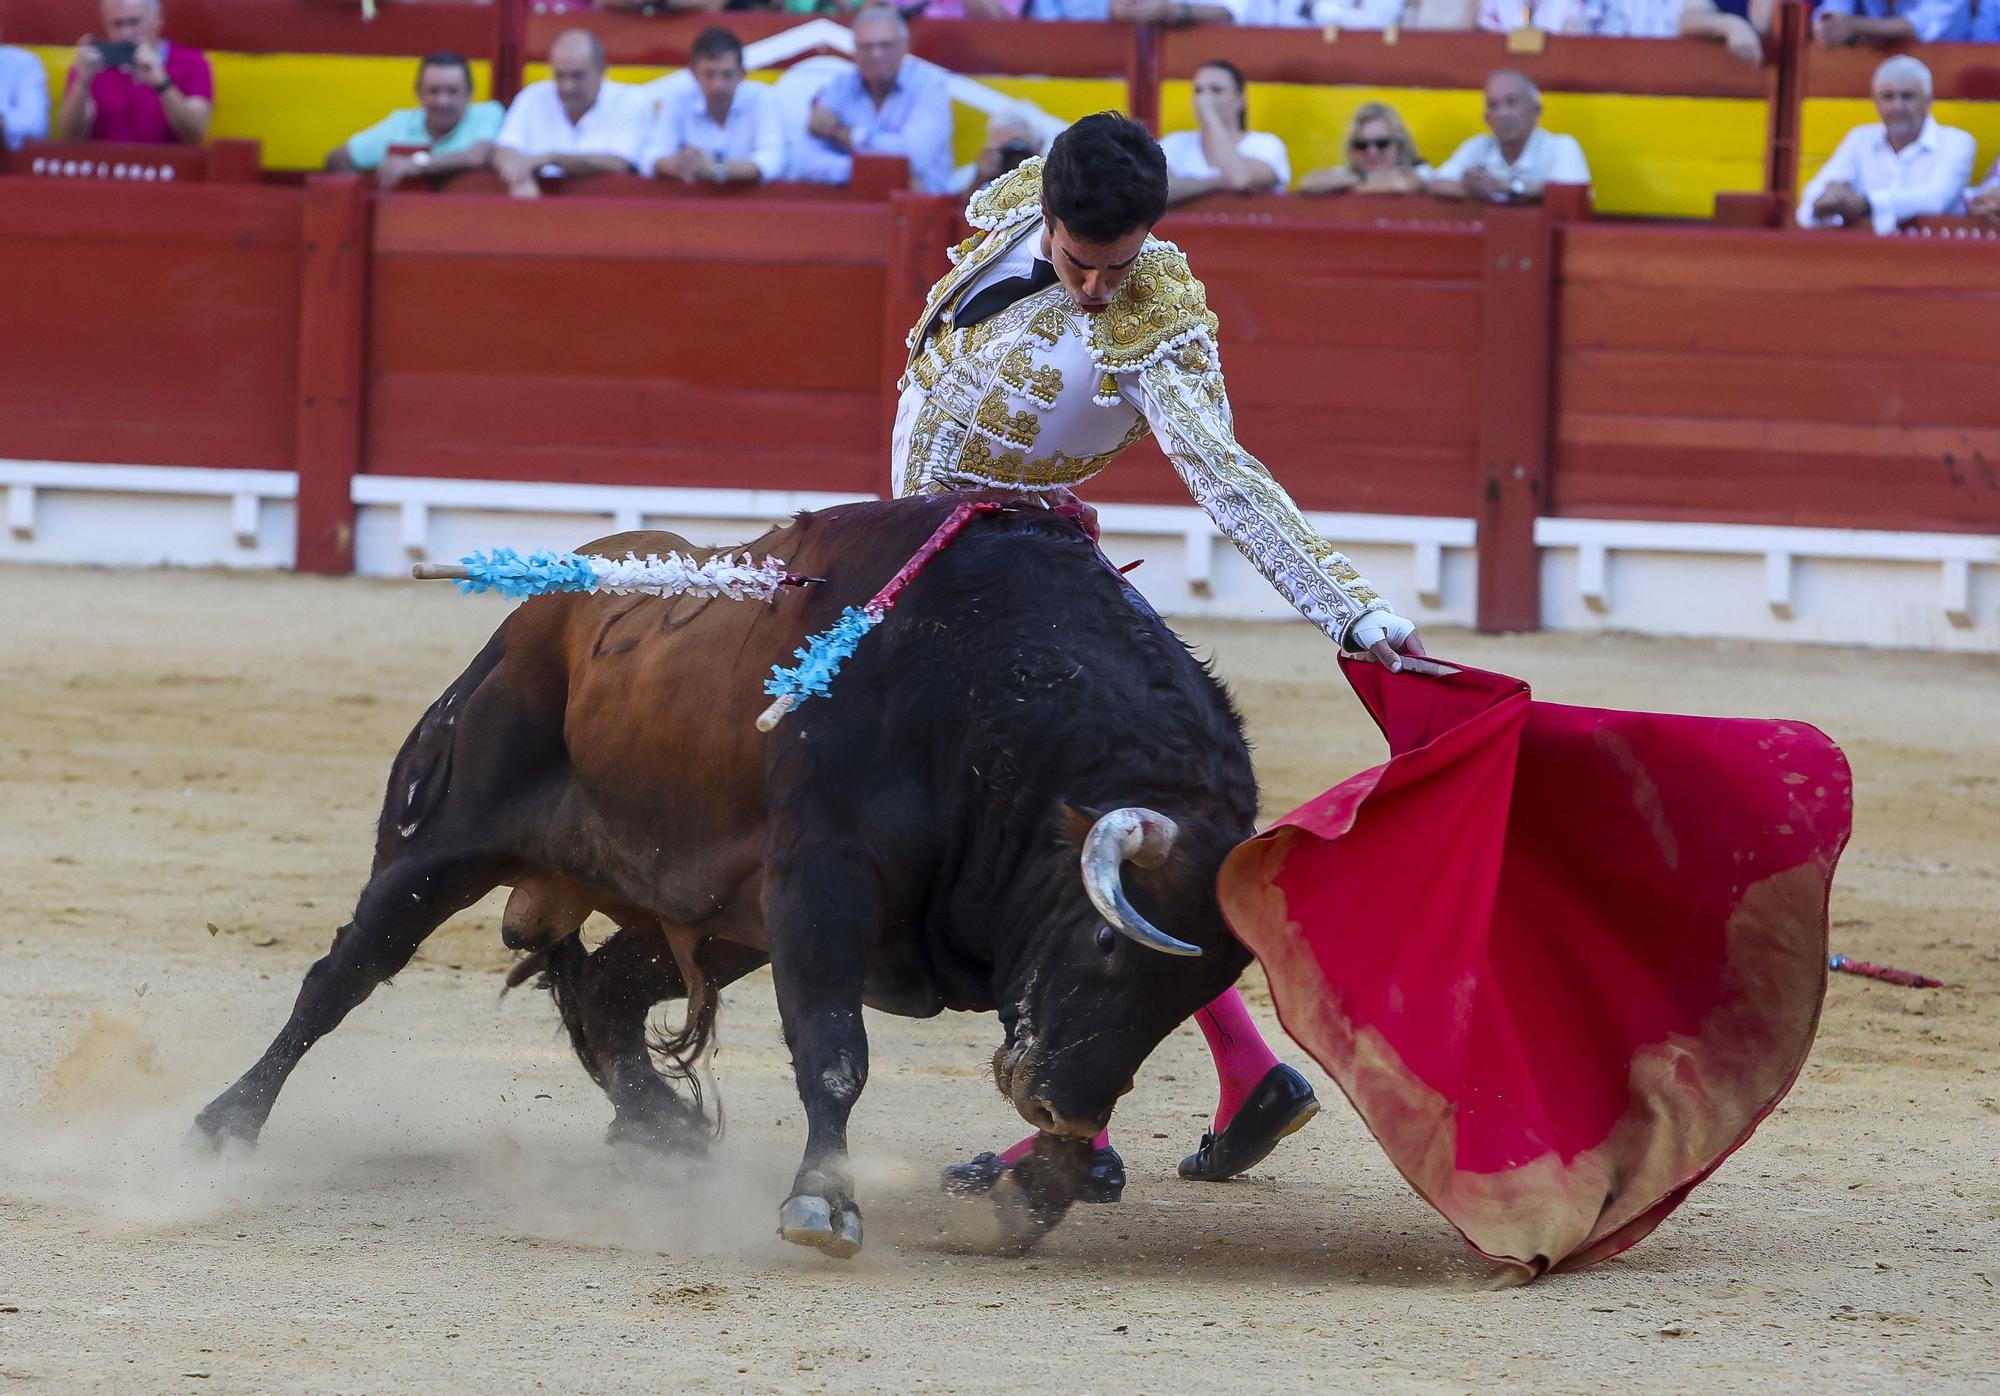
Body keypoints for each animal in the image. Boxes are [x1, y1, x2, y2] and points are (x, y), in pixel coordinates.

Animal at [195, 492, 1256, 1248]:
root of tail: (535, 617)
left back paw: (660, 1130)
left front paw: (1025, 1195)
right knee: (343, 975)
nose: (1058, 1105)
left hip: (711, 917)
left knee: (604, 995)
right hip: (441, 843)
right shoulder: (820, 887)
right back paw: (223, 1124)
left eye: (1185, 998)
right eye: (1111, 951)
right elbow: (833, 1052)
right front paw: (823, 1205)